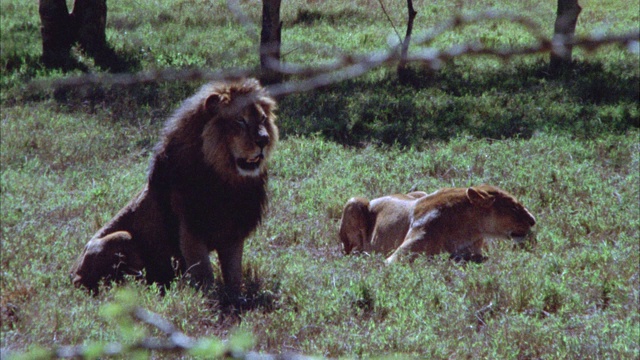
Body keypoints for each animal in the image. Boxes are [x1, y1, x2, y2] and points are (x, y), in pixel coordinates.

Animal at [71, 79, 278, 300]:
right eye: (240, 120)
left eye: (263, 119)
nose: (264, 140)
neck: (227, 179)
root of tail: (72, 274)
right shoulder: (191, 231)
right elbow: (204, 274)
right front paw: (207, 301)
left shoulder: (232, 231)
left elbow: (234, 274)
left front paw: (236, 299)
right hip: (121, 238)